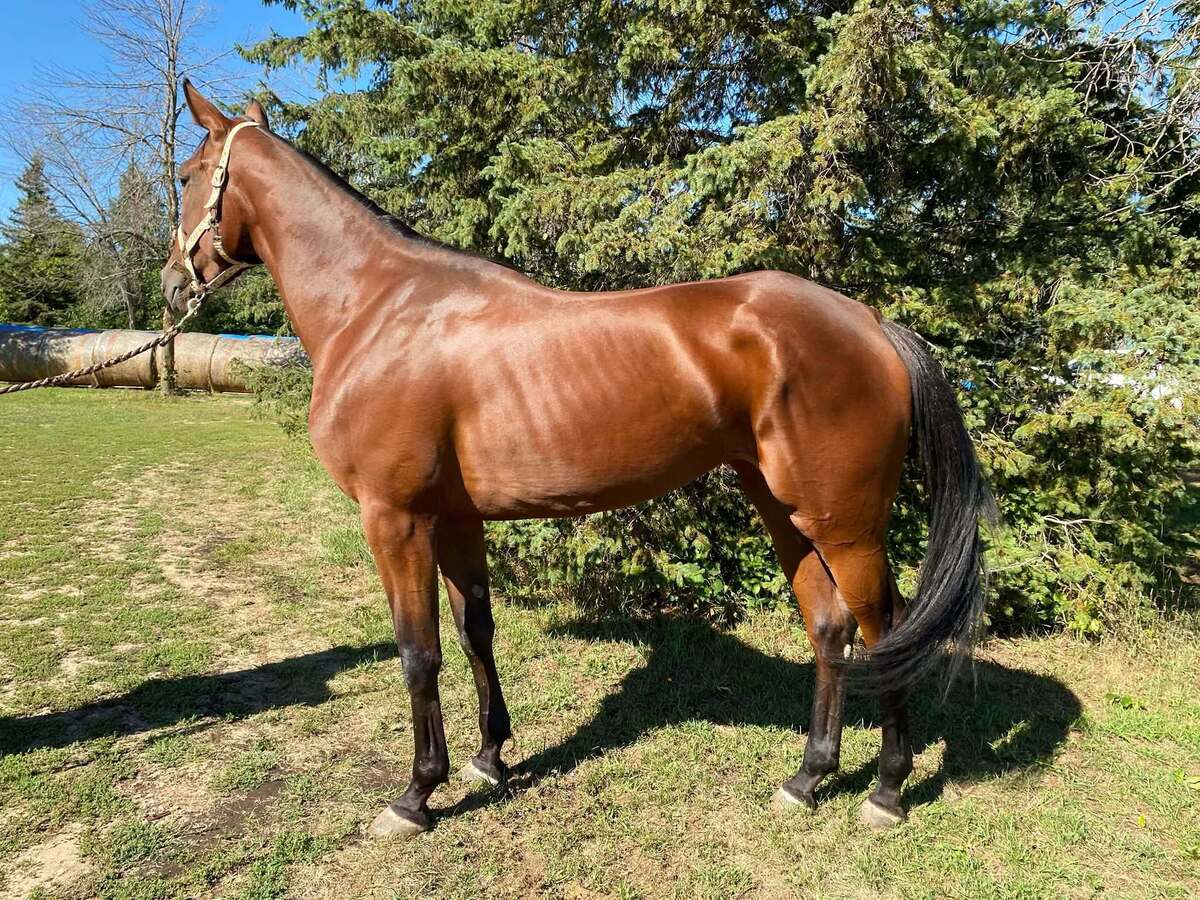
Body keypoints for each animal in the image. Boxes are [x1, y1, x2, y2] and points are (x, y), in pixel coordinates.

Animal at [161, 81, 994, 838]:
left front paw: (417, 795)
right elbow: (476, 630)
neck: (378, 308)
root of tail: (870, 321)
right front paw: (490, 759)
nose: (172, 285)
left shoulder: (394, 520)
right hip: (785, 509)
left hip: (845, 523)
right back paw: (808, 777)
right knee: (828, 628)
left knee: (884, 632)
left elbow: (418, 652)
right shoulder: (455, 518)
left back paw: (885, 791)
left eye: (188, 174)